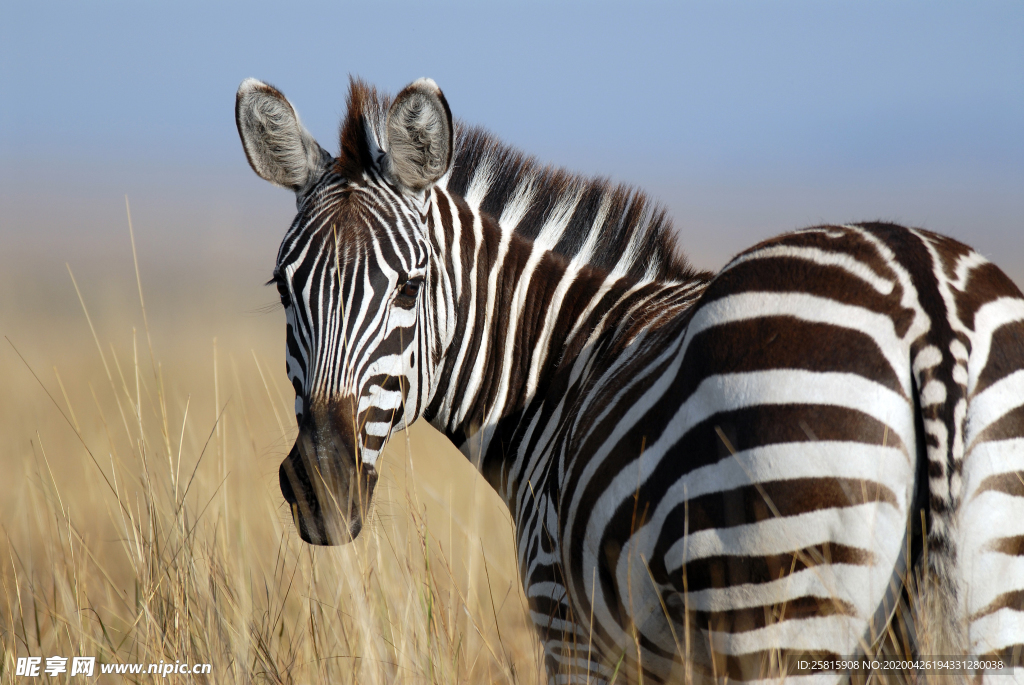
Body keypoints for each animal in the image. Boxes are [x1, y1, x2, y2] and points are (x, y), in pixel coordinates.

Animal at [235, 76, 1024, 683]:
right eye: (284, 289)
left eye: (409, 287)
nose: (321, 487)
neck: (555, 371)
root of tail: (925, 300)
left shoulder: (569, 622)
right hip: (989, 606)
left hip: (780, 608)